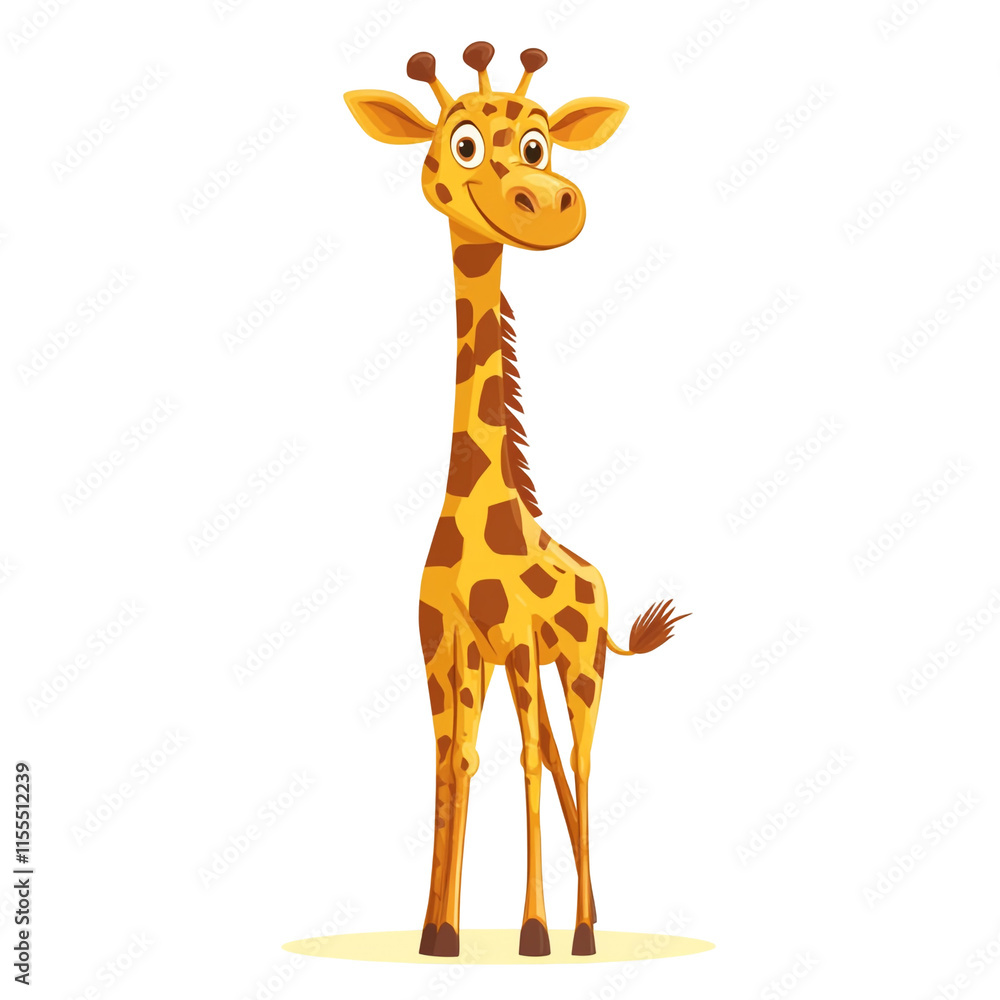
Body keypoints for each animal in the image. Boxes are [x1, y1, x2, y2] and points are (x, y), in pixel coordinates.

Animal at [345, 42, 688, 959]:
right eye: (461, 143)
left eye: (539, 145)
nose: (549, 202)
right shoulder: (446, 648)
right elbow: (453, 761)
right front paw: (438, 932)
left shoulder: (520, 644)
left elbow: (526, 763)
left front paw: (531, 932)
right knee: (564, 762)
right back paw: (589, 919)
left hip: (583, 664)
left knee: (577, 757)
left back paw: (580, 932)